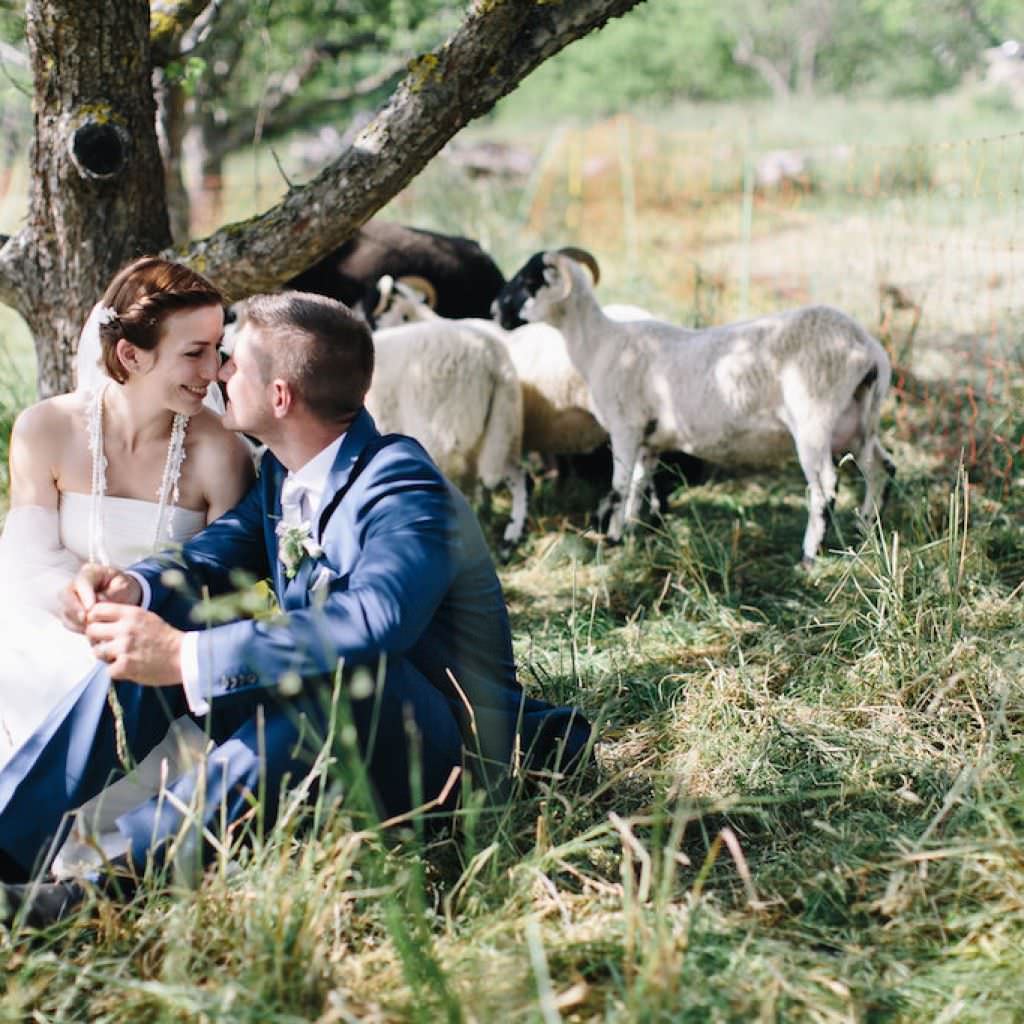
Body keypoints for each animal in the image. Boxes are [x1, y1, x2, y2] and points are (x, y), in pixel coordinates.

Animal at [495, 250, 897, 565]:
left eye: (529, 280)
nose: (495, 310)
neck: (599, 344)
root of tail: (866, 347)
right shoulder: (650, 439)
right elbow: (640, 484)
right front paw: (633, 530)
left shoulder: (626, 427)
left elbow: (619, 485)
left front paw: (611, 538)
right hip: (858, 423)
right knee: (881, 468)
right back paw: (866, 531)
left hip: (814, 420)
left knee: (825, 487)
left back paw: (810, 555)